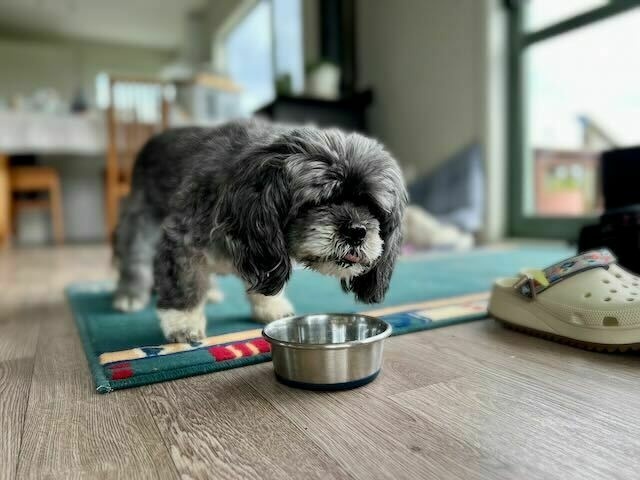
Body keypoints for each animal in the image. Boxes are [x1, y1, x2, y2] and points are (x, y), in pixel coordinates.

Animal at [113, 122, 408, 344]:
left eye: (372, 208)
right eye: (319, 200)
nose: (357, 231)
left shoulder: (261, 254)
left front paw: (270, 306)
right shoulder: (182, 239)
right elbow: (184, 284)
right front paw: (183, 322)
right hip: (139, 221)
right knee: (135, 260)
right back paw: (130, 294)